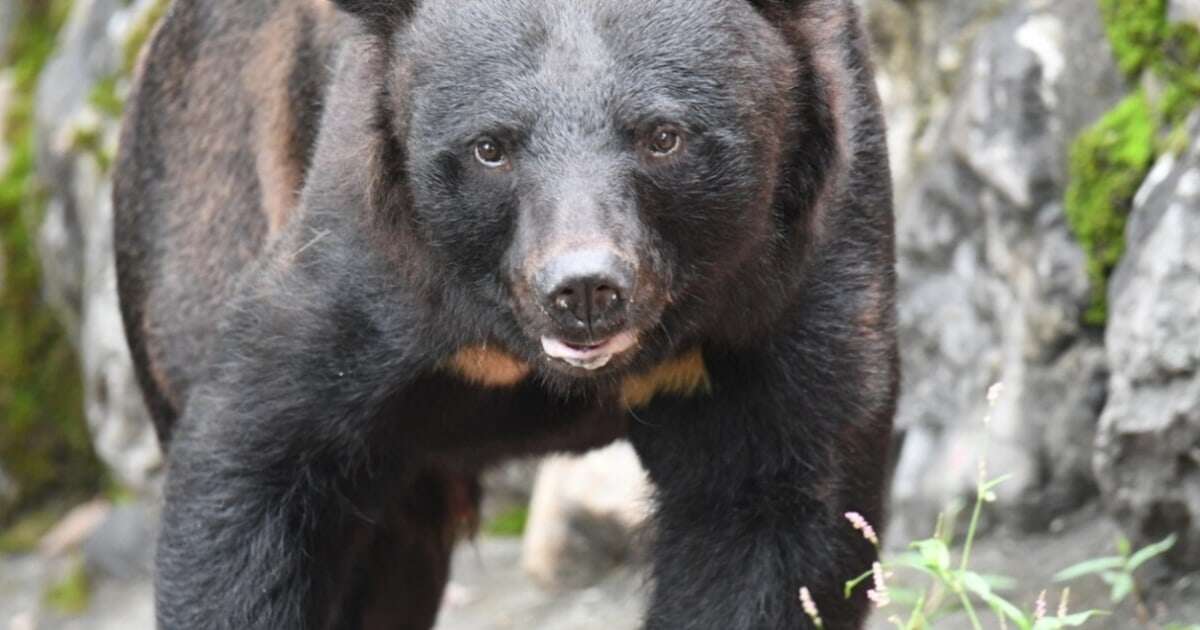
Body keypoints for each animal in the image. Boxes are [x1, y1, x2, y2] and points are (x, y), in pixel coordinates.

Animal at [114, 0, 902, 624]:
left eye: (662, 135)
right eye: (490, 147)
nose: (583, 290)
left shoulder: (791, 277)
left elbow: (778, 507)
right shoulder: (370, 261)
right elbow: (256, 446)